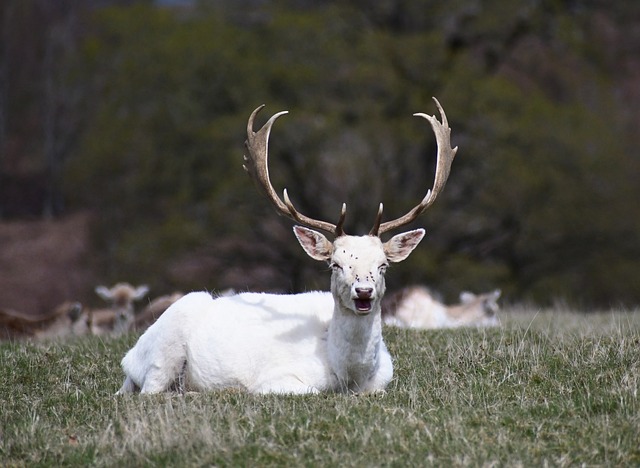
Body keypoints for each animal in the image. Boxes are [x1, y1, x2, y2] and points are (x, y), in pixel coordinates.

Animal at [117, 98, 458, 394]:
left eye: (383, 264)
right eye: (335, 264)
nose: (364, 291)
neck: (348, 377)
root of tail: (129, 358)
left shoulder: (382, 380)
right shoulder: (276, 380)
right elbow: (308, 391)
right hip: (165, 348)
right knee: (150, 392)